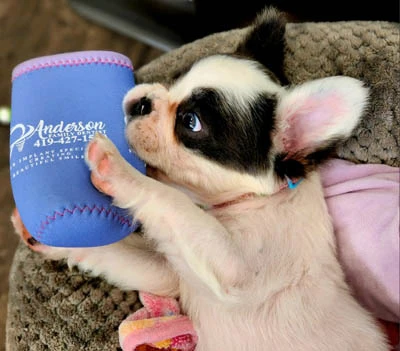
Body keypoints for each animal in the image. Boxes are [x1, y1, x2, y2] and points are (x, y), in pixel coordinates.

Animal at [13, 8, 388, 351]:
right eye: (175, 79)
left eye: (190, 122)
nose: (141, 101)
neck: (251, 201)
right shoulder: (171, 274)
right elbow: (120, 253)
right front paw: (47, 237)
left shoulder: (237, 270)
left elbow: (171, 200)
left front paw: (116, 166)